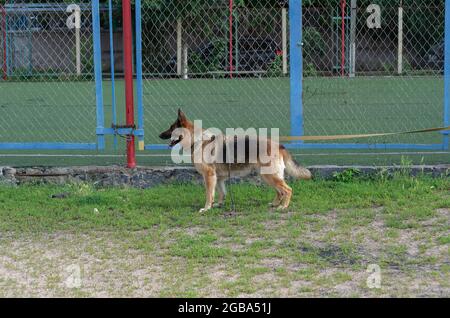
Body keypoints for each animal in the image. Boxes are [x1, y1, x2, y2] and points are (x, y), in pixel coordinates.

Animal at [160, 108, 312, 212]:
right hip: (267, 176)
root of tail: (279, 145)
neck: (196, 140)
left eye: (171, 128)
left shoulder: (209, 175)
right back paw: (275, 204)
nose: (159, 135)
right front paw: (218, 204)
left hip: (269, 175)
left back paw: (283, 207)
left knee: (288, 190)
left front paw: (207, 208)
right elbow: (221, 192)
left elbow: (209, 194)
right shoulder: (219, 178)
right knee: (280, 191)